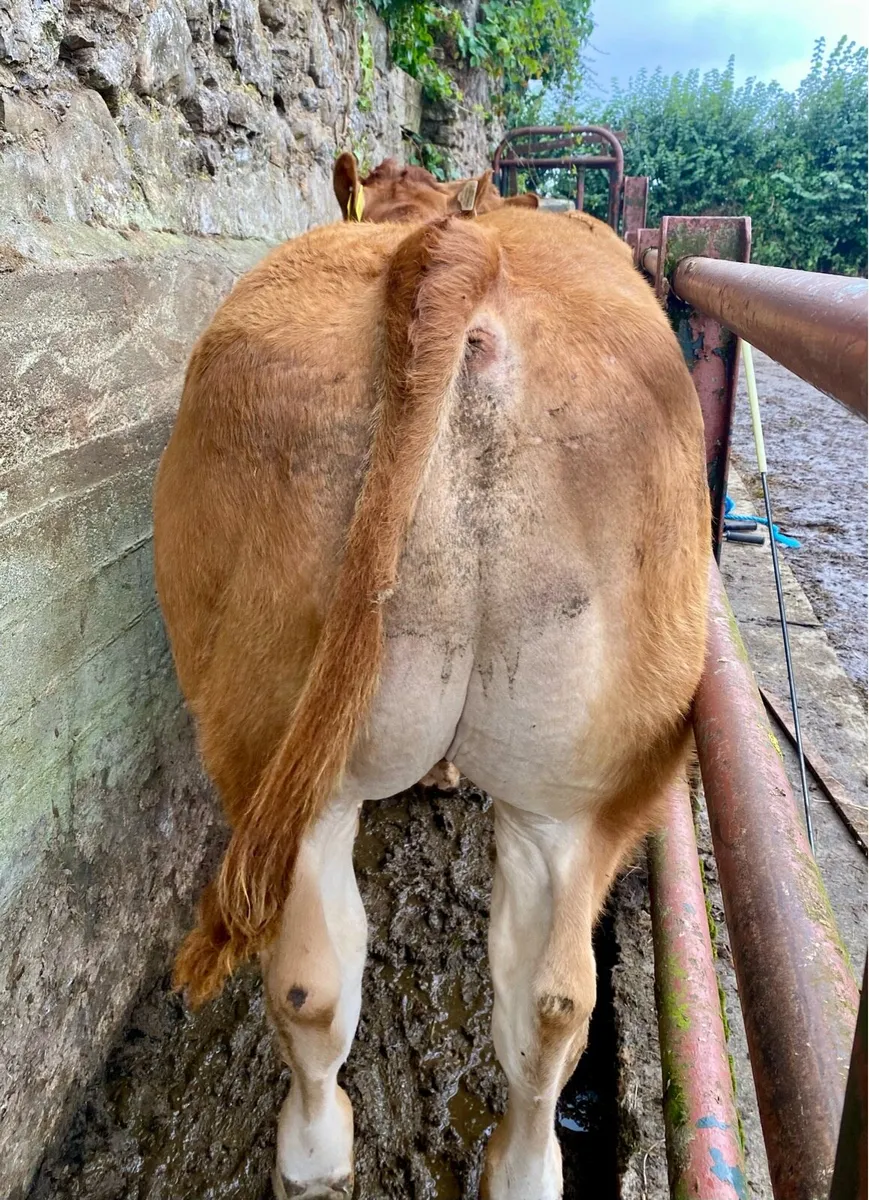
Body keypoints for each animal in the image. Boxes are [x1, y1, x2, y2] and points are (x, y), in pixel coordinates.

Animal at [153, 167, 709, 1199]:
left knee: (384, 989)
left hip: (324, 758)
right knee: (537, 999)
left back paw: (331, 1162)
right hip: (591, 787)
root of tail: (458, 253)